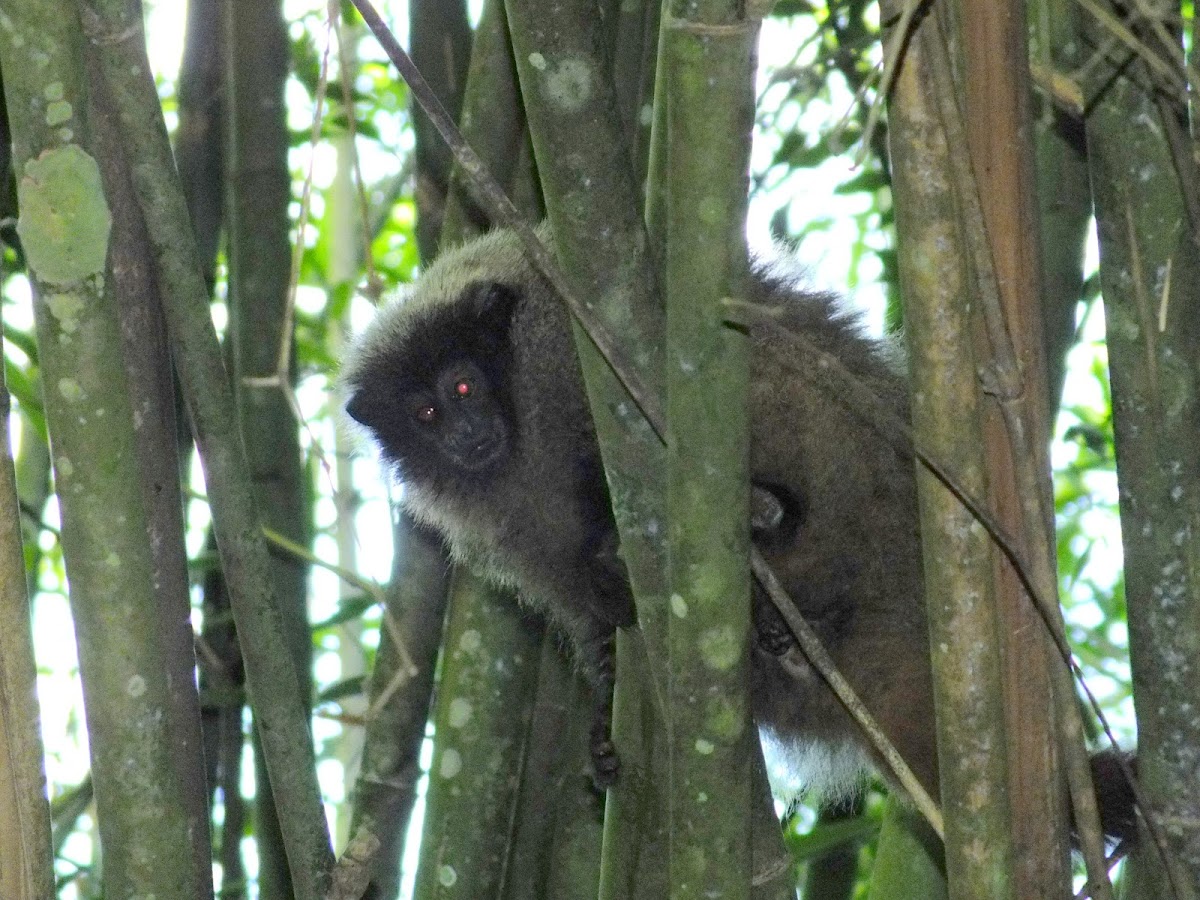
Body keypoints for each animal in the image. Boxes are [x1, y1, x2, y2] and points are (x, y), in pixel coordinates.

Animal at [341, 225, 1137, 842]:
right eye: (425, 413)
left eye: (463, 386)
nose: (466, 432)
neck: (523, 435)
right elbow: (594, 621)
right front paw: (604, 721)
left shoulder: (566, 349)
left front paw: (615, 529)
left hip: (855, 468)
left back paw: (766, 523)